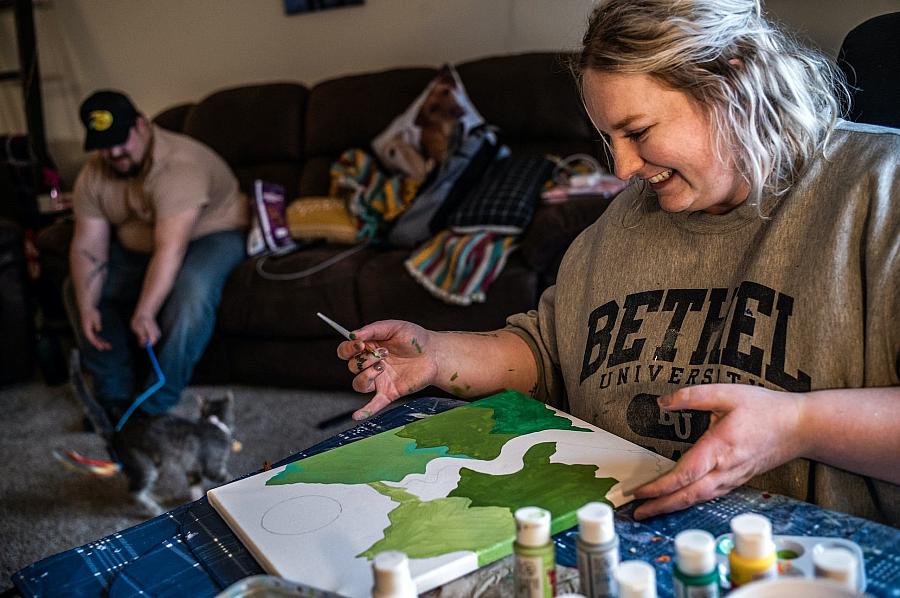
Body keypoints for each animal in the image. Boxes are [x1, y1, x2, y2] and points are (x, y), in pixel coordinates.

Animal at [69, 352, 236, 516]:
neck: (213, 423)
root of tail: (116, 434)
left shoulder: (192, 469)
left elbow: (195, 487)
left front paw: (195, 499)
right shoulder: (213, 466)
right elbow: (226, 477)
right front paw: (232, 481)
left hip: (153, 463)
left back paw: (156, 497)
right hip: (143, 465)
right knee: (135, 491)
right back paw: (155, 508)